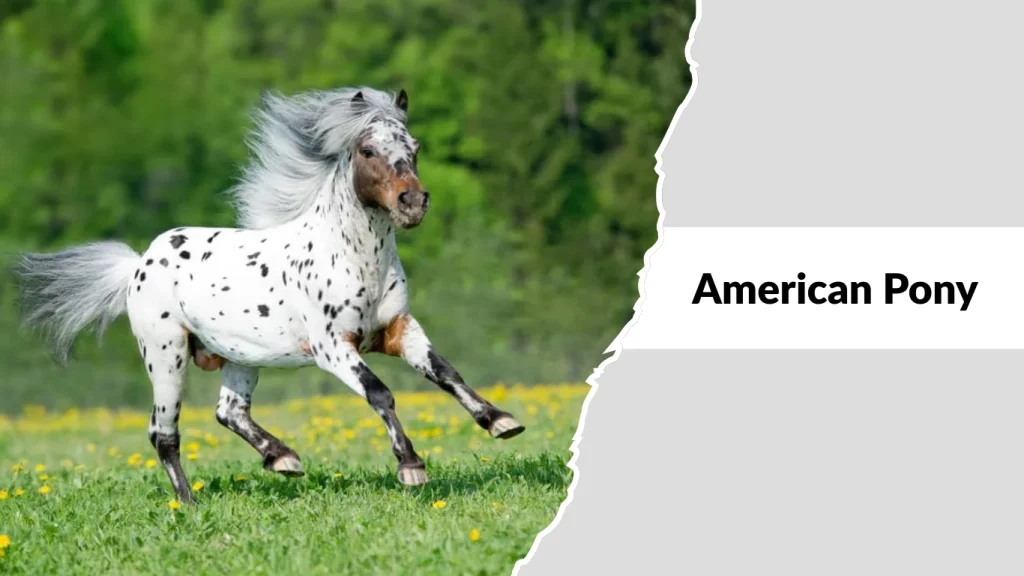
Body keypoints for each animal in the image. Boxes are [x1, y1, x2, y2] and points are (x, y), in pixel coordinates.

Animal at [13, 86, 524, 504]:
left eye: (414, 148)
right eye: (367, 149)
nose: (412, 203)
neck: (353, 258)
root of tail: (139, 263)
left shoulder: (400, 330)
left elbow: (445, 373)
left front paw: (501, 422)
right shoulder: (333, 349)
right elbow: (381, 393)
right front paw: (411, 467)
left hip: (240, 357)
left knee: (229, 412)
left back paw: (284, 459)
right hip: (166, 355)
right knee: (163, 433)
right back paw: (190, 504)